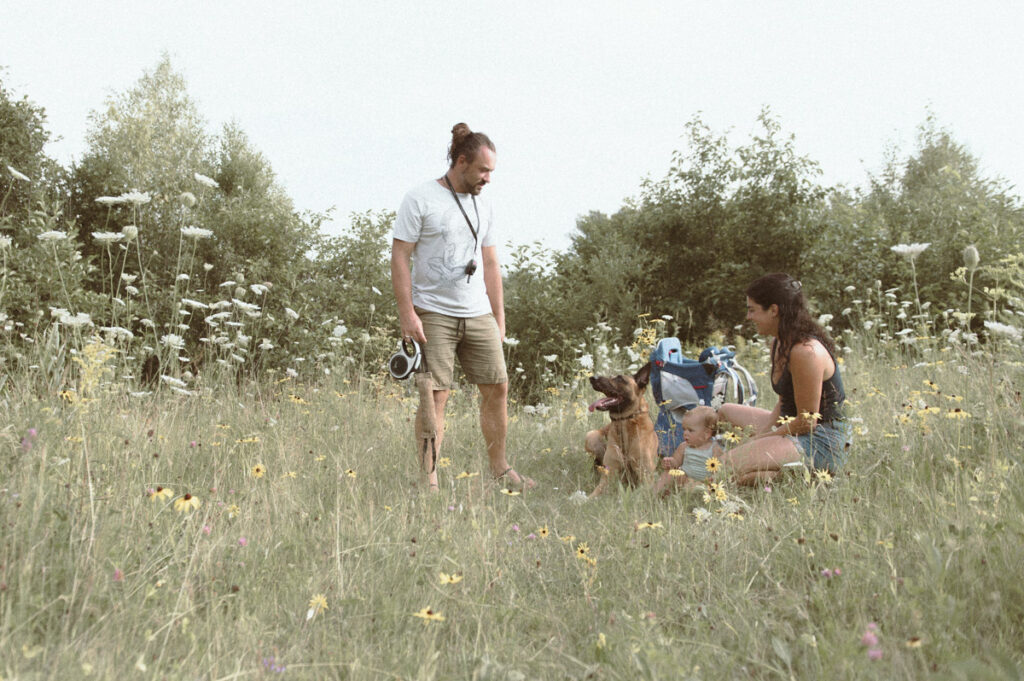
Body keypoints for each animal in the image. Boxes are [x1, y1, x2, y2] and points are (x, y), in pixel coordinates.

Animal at [585, 364, 655, 497]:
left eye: (619, 378)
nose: (592, 378)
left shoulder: (646, 478)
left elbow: (637, 494)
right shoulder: (608, 476)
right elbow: (593, 494)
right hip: (591, 436)